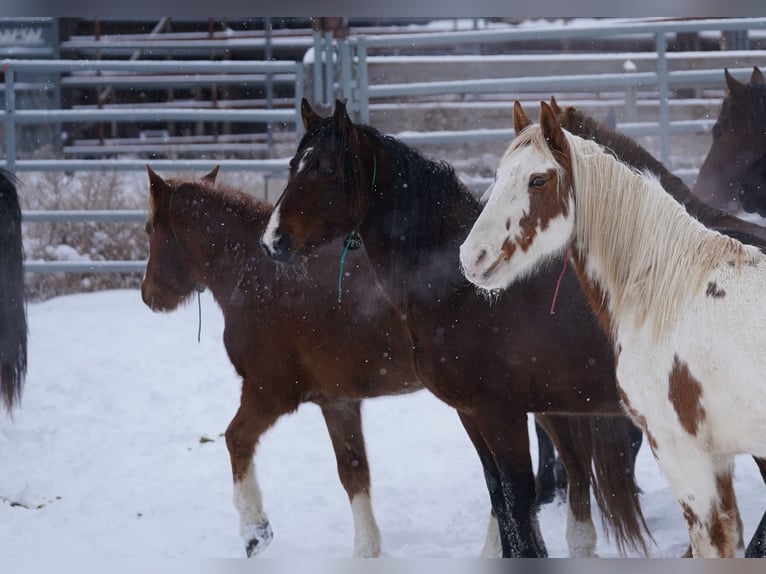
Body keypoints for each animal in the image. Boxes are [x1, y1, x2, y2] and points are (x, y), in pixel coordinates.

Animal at [140, 164, 632, 560]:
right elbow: (354, 472)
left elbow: (236, 440)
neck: (256, 274)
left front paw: (254, 532)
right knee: (569, 469)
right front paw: (367, 549)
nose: (148, 295)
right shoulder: (336, 402)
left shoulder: (269, 392)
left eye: (147, 229)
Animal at [260, 98, 652, 560]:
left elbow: (518, 504)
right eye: (293, 164)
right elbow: (500, 499)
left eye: (326, 168)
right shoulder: (472, 414)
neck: (461, 289)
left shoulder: (501, 413)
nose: (273, 241)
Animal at [462, 99, 766, 560]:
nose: (471, 256)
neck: (674, 293)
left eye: (538, 179)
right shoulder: (717, 459)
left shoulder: (686, 457)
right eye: (498, 176)